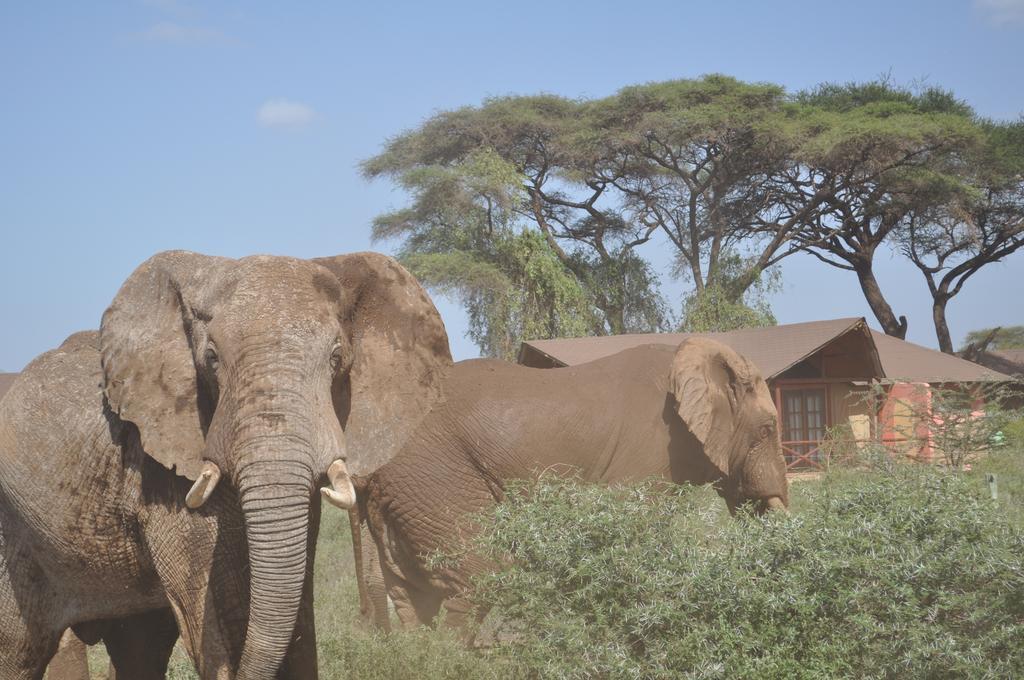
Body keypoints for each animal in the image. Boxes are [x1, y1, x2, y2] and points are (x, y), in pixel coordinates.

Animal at [0, 250, 450, 680]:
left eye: (337, 357)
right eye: (212, 359)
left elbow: (296, 599)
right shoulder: (159, 477)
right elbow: (219, 606)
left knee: (139, 649)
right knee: (17, 652)